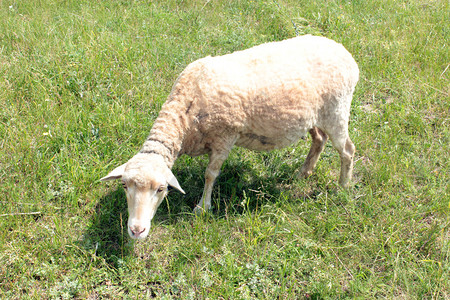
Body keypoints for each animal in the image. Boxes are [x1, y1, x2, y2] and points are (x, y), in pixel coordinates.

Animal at [101, 34, 358, 239]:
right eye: (124, 185)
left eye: (161, 189)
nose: (137, 230)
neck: (185, 113)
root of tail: (345, 53)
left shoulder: (225, 137)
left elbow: (210, 174)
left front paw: (203, 208)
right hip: (315, 115)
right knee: (319, 140)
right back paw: (303, 173)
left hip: (337, 109)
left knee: (347, 150)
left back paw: (342, 186)